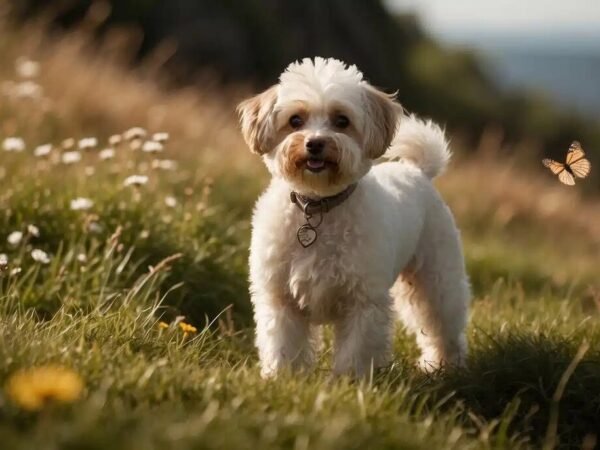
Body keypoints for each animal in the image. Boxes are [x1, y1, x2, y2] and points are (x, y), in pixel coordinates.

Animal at [237, 57, 472, 380]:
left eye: (341, 121)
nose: (314, 143)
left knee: (443, 328)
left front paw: (348, 383)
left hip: (436, 282)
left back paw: (446, 367)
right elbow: (283, 344)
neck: (318, 206)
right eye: (295, 120)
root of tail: (417, 170)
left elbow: (355, 350)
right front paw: (282, 378)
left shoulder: (363, 302)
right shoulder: (280, 298)